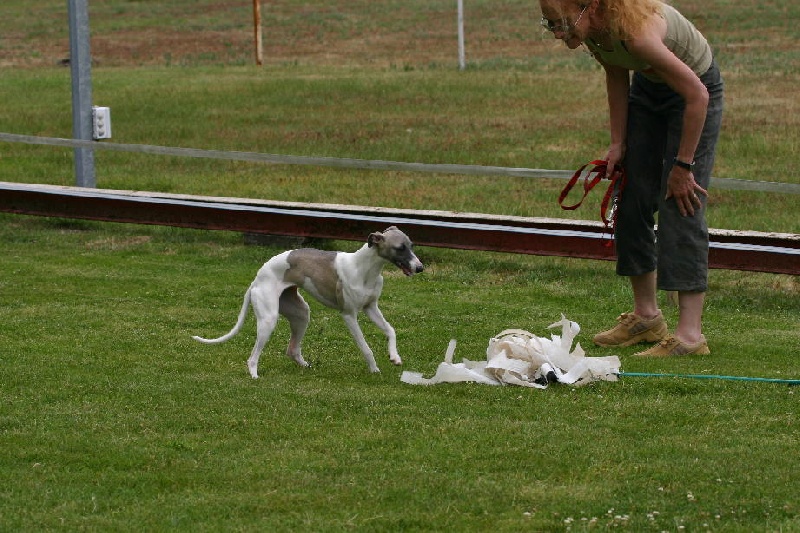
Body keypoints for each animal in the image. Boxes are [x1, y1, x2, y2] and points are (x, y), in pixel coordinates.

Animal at [192, 227, 424, 376]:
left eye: (411, 245)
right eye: (400, 248)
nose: (420, 268)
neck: (364, 268)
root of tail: (256, 280)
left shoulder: (371, 308)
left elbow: (391, 329)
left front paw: (394, 357)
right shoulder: (349, 315)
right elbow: (365, 346)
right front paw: (374, 369)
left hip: (300, 313)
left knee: (292, 349)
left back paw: (305, 366)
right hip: (268, 319)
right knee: (253, 356)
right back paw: (254, 375)